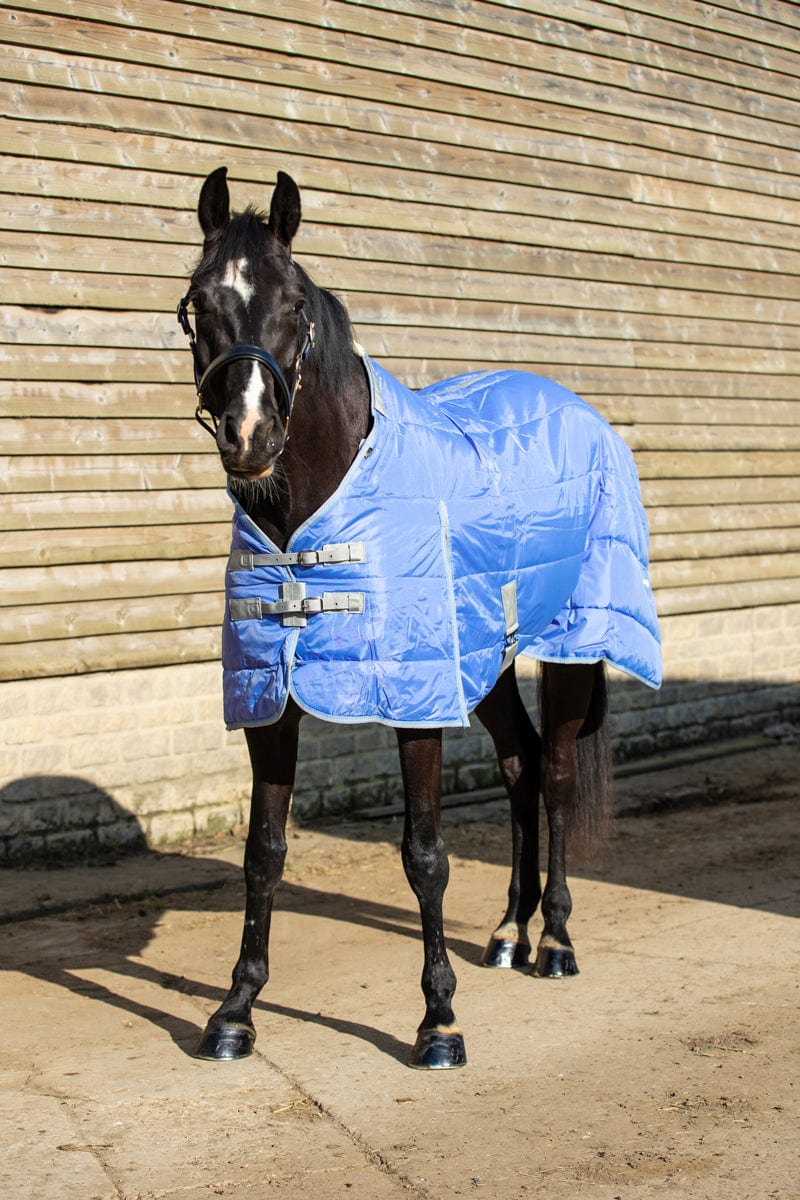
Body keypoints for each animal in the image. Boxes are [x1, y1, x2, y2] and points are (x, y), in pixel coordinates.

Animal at [177, 167, 661, 1069]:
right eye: (198, 305)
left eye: (294, 304)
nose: (250, 437)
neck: (312, 513)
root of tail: (582, 413)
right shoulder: (271, 698)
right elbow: (264, 854)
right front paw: (236, 1010)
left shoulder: (415, 702)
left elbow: (425, 855)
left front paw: (439, 1020)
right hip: (488, 659)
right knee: (521, 766)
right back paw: (508, 931)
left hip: (574, 647)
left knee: (558, 774)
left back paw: (556, 942)